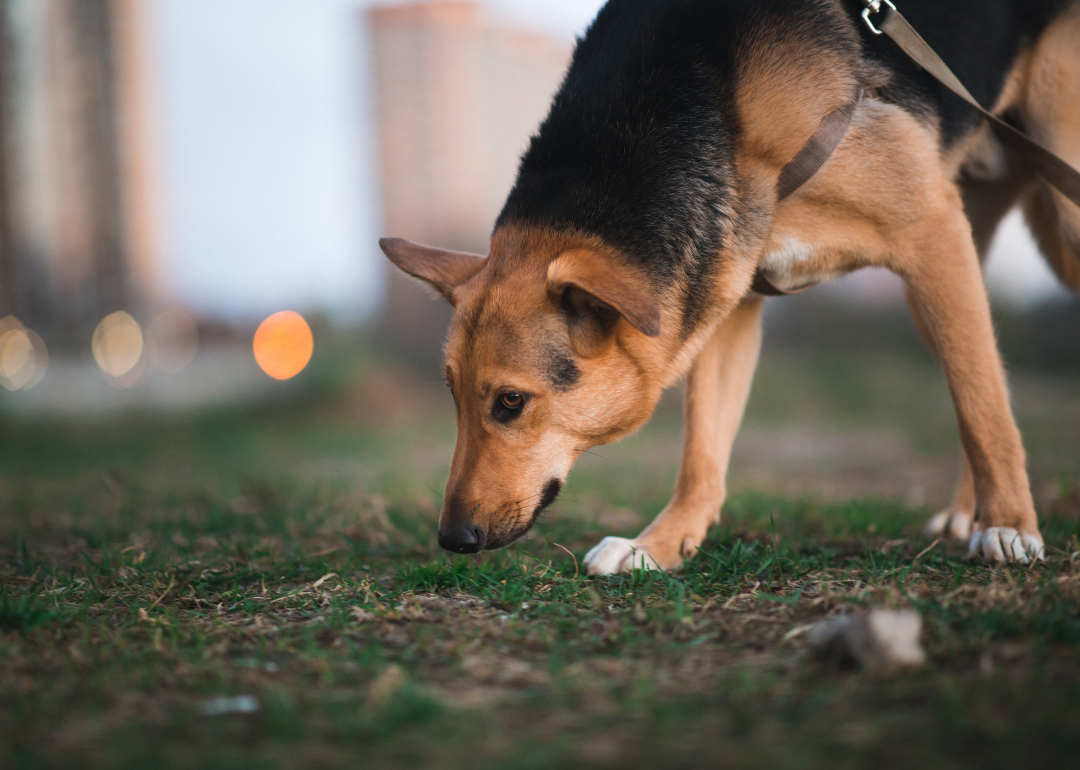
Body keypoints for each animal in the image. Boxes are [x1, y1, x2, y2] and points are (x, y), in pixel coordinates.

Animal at [380, 0, 1080, 570]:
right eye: (452, 395)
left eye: (510, 402)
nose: (452, 540)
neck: (709, 101)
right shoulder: (726, 293)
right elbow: (703, 451)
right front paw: (658, 547)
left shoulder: (929, 231)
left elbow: (985, 409)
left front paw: (1012, 528)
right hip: (942, 279)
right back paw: (967, 513)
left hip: (1037, 226)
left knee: (980, 388)